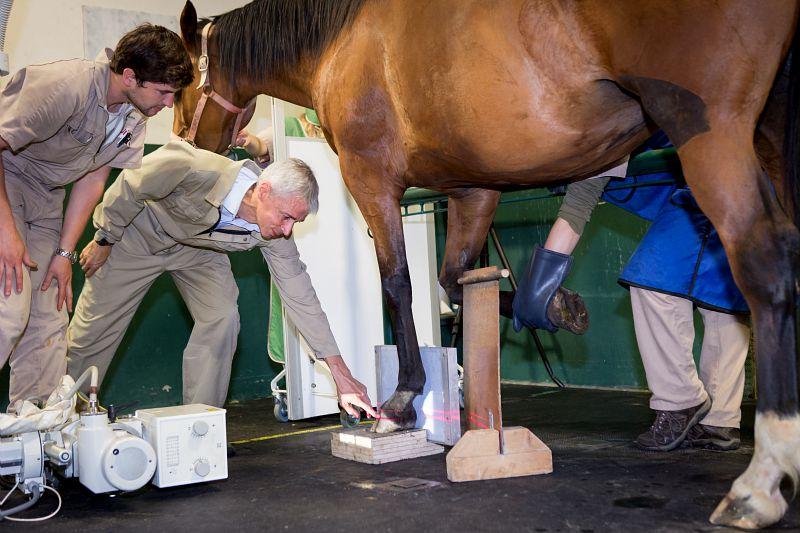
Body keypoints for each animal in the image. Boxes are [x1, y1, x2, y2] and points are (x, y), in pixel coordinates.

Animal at [175, 1, 800, 528]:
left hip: (711, 131)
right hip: (769, 135)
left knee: (766, 269)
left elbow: (398, 284)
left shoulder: (371, 178)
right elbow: (455, 282)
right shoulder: (473, 189)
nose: (184, 142)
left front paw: (401, 402)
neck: (340, 39)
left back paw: (759, 481)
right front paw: (548, 307)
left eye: (181, 82)